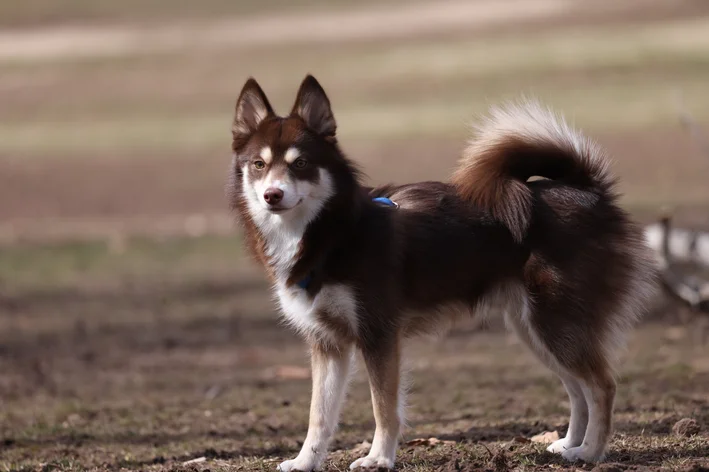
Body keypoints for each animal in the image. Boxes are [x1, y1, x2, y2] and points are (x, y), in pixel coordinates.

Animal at [227, 75, 652, 470]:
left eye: (300, 163)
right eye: (259, 165)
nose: (272, 195)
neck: (332, 231)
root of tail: (587, 190)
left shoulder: (378, 336)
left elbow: (384, 407)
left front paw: (379, 459)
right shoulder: (327, 344)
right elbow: (319, 415)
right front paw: (305, 462)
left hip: (556, 324)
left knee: (602, 386)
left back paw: (591, 452)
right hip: (536, 330)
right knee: (578, 389)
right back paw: (570, 446)